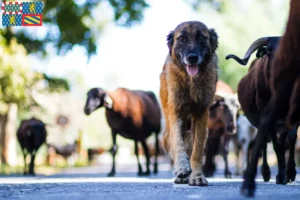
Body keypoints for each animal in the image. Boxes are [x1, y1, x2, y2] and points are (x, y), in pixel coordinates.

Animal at [238, 0, 298, 197]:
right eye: (269, 50)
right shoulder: (266, 116)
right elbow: (277, 147)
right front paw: (281, 176)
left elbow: (290, 140)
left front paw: (291, 173)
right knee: (264, 144)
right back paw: (265, 174)